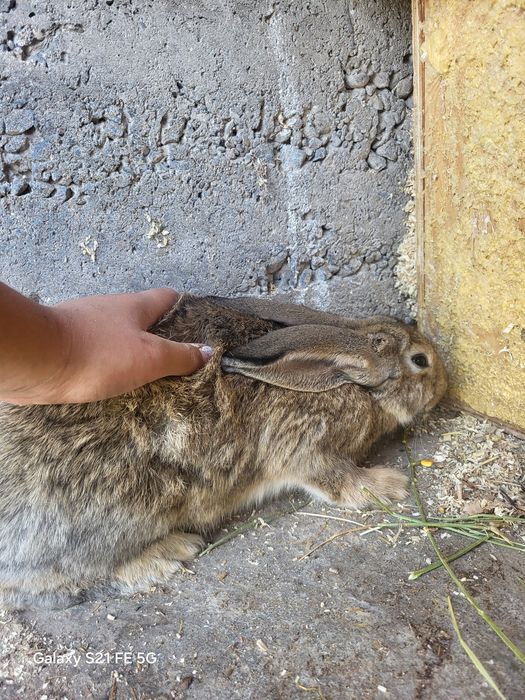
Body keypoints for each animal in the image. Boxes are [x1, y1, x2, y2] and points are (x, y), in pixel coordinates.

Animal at [0, 294, 447, 609]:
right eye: (420, 360)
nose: (444, 385)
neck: (341, 377)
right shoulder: (306, 445)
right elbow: (335, 479)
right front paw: (387, 485)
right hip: (119, 516)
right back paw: (167, 555)